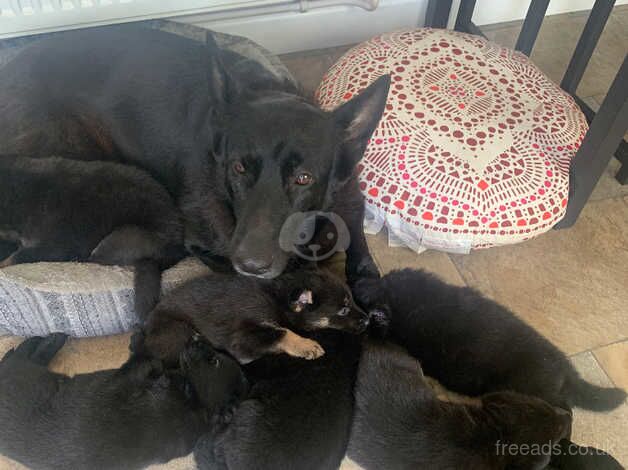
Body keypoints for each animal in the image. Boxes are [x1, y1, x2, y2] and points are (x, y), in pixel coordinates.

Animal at [0, 332, 248, 468]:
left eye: (214, 361)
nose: (197, 335)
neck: (192, 402)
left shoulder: (135, 374)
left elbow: (147, 357)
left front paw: (139, 339)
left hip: (23, 375)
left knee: (14, 358)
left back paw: (45, 341)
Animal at [132, 268, 368, 364]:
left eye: (352, 300)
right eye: (343, 310)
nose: (368, 319)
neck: (278, 300)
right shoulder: (241, 339)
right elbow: (282, 332)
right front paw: (306, 346)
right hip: (180, 330)